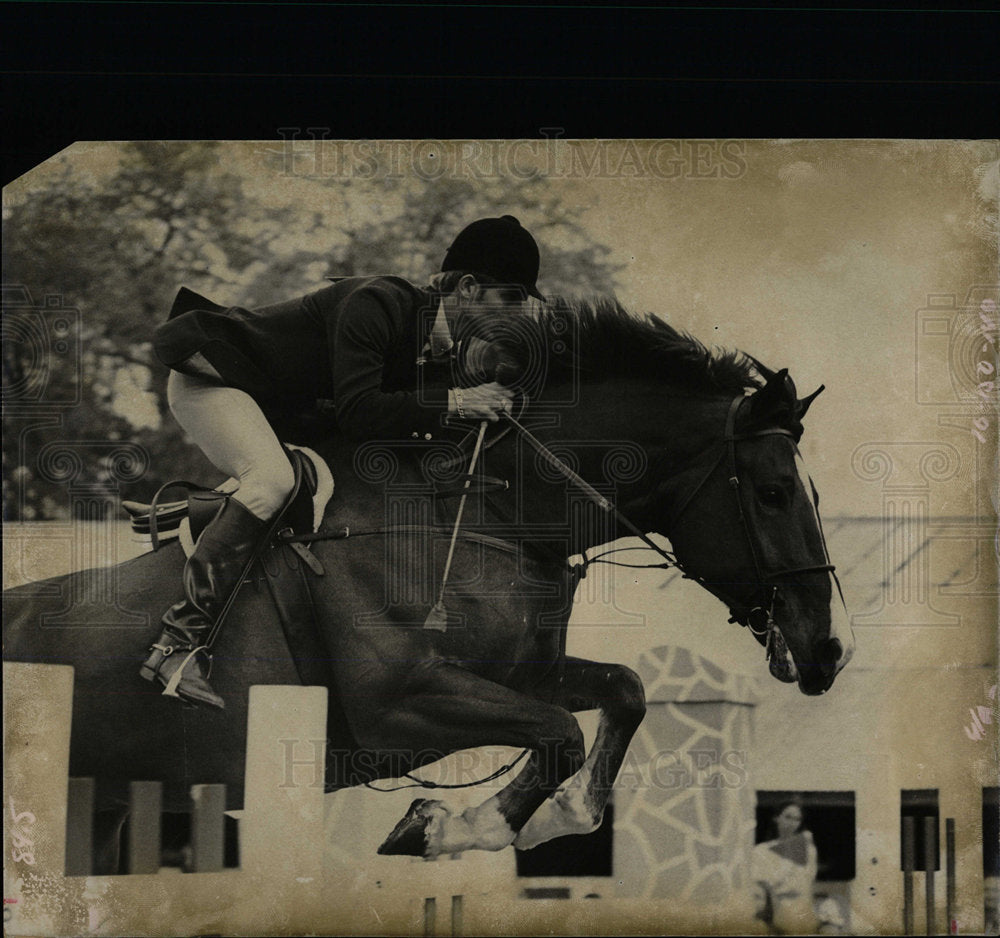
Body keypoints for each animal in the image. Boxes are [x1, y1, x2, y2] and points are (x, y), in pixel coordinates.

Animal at [3, 298, 856, 864]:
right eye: (774, 492)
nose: (829, 650)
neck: (495, 507)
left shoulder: (522, 674)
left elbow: (622, 692)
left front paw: (542, 821)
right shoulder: (397, 704)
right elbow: (559, 732)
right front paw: (449, 827)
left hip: (106, 803)